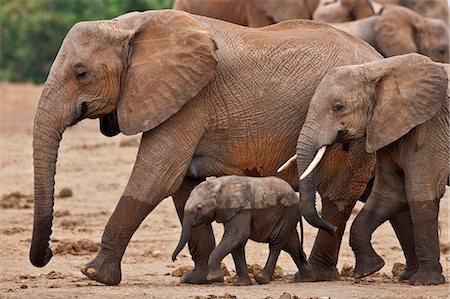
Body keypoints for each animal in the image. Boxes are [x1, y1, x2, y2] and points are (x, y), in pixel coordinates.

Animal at [171, 176, 314, 286]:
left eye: (199, 208)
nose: (174, 259)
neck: (218, 185)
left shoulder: (242, 209)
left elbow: (237, 236)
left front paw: (214, 278)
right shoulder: (230, 212)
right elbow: (236, 243)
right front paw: (241, 284)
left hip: (287, 212)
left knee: (276, 243)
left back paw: (262, 278)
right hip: (288, 216)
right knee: (292, 246)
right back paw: (307, 278)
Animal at [290, 53, 448, 286]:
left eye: (338, 107)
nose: (331, 227)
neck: (378, 69)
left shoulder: (430, 127)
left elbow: (420, 192)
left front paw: (425, 281)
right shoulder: (387, 127)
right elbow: (389, 193)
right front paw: (368, 269)